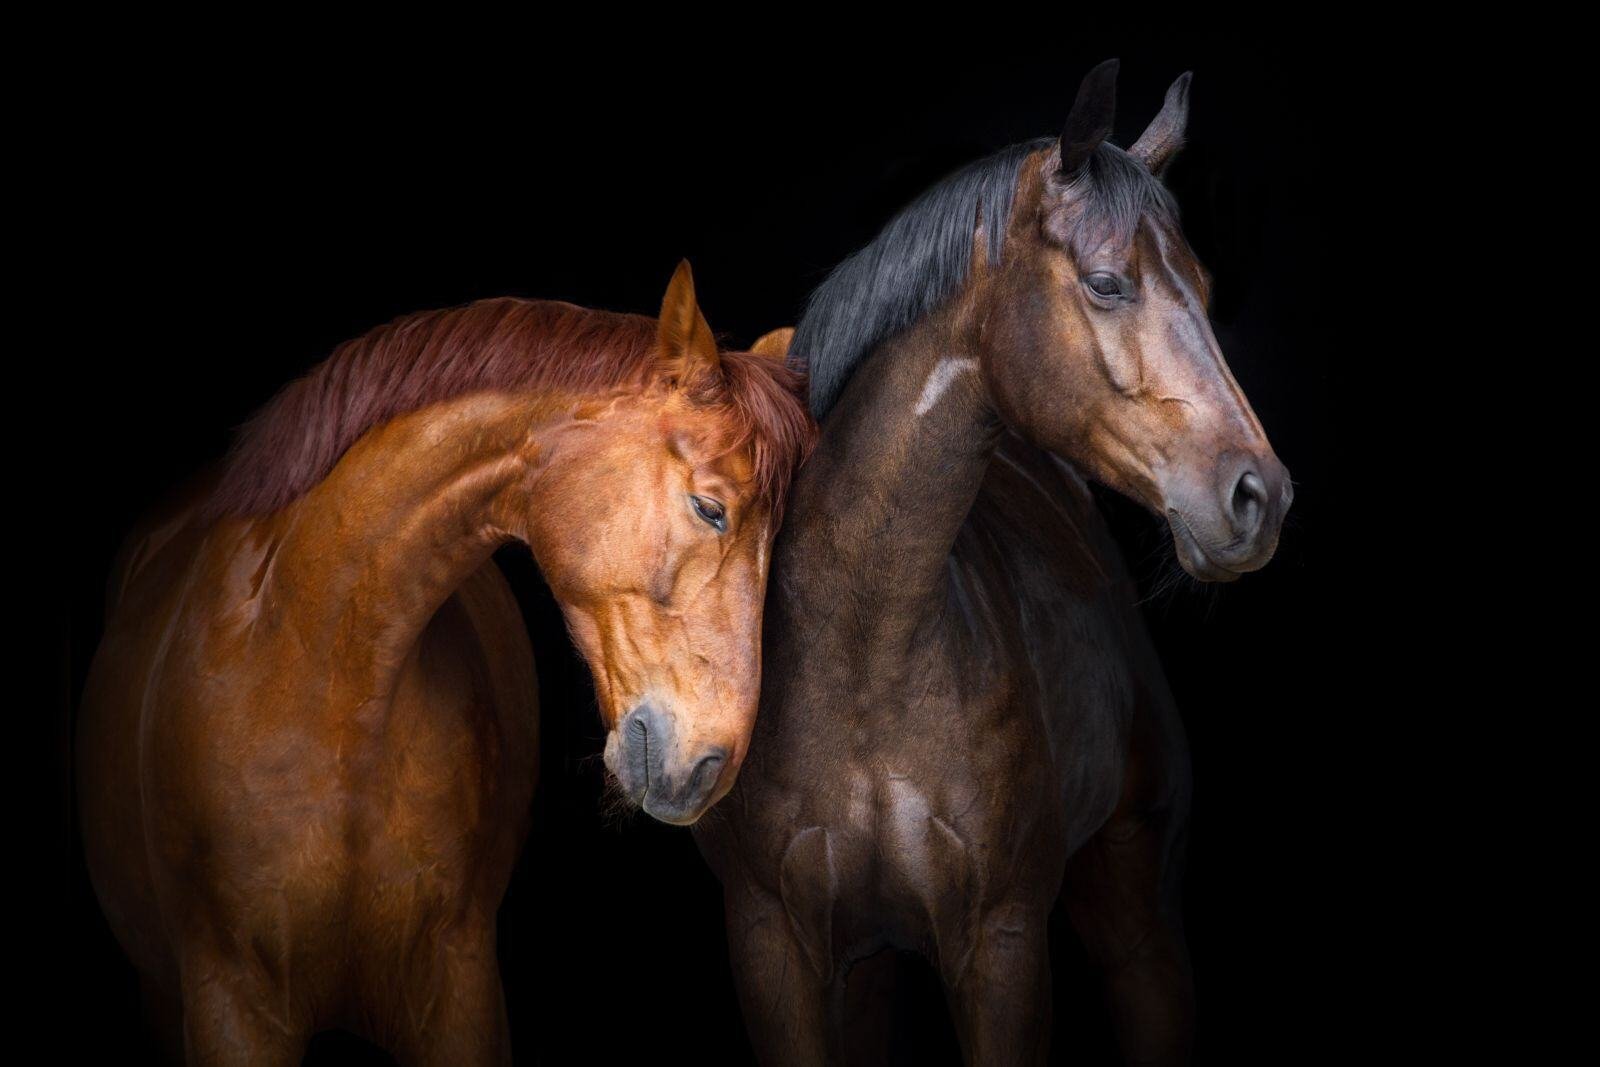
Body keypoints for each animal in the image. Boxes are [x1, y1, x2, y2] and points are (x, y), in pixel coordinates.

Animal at [692, 62, 1293, 1065]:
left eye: (1206, 290)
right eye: (1106, 283)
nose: (1261, 497)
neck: (866, 649)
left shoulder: (1002, 945)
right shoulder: (773, 946)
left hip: (1138, 930)